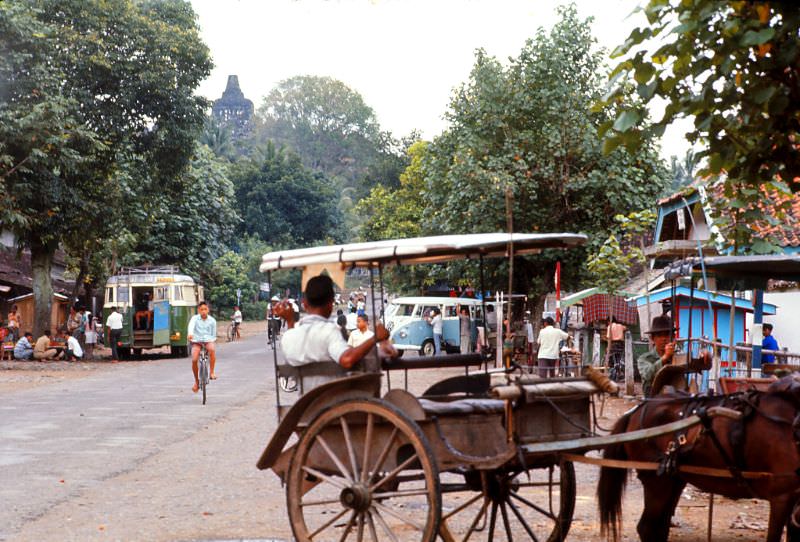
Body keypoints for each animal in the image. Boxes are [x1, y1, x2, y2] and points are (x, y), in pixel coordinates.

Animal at [596, 378, 800, 542]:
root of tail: (637, 410)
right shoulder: (782, 496)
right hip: (657, 481)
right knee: (647, 528)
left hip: (674, 480)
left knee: (660, 527)